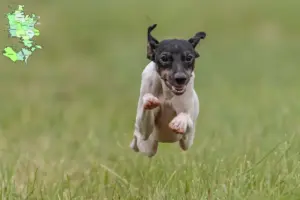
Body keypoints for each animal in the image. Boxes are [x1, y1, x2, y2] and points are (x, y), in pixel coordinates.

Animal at [129, 24, 206, 157]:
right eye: (164, 58)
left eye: (189, 57)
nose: (180, 78)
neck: (167, 94)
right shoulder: (145, 133)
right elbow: (143, 124)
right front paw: (149, 100)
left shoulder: (187, 138)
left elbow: (187, 119)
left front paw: (180, 121)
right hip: (148, 147)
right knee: (138, 140)